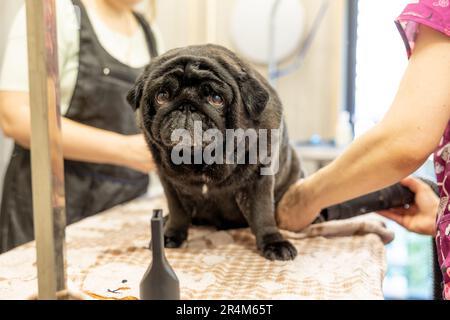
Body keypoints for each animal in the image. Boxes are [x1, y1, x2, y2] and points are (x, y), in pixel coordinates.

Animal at [126, 44, 302, 260]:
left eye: (216, 99)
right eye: (162, 96)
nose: (187, 105)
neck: (200, 160)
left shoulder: (258, 180)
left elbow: (262, 214)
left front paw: (274, 242)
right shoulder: (171, 184)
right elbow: (178, 212)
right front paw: (170, 234)